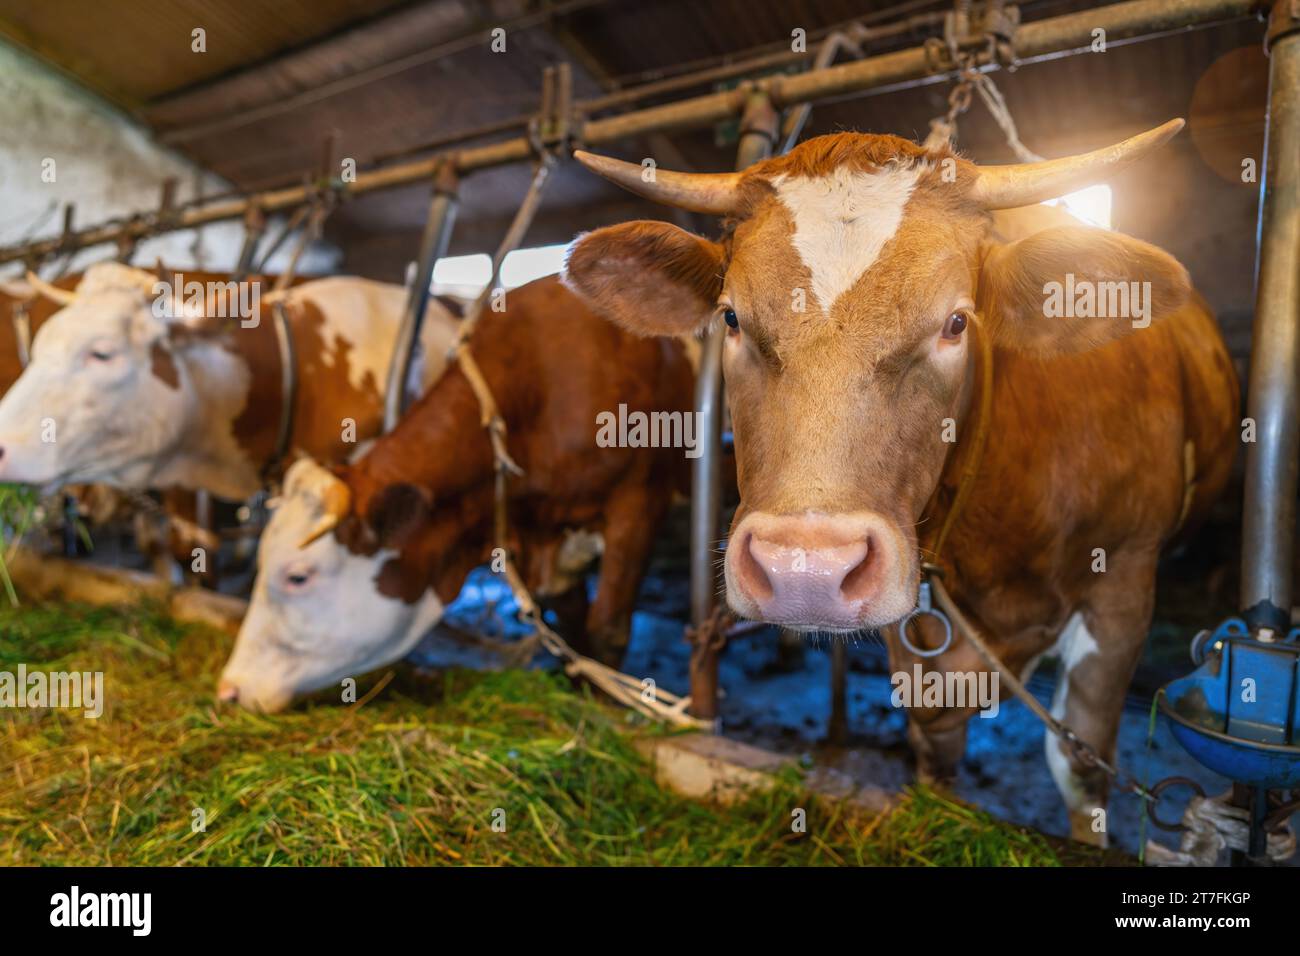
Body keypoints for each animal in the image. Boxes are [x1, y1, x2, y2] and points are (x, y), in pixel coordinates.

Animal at [218, 274, 696, 712]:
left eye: (298, 576)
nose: (229, 688)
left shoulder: (639, 500)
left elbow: (607, 628)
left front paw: (604, 709)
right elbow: (574, 629)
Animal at [566, 121, 1237, 842]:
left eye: (956, 322)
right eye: (731, 318)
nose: (806, 571)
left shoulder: (1124, 588)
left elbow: (1082, 767)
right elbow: (934, 745)